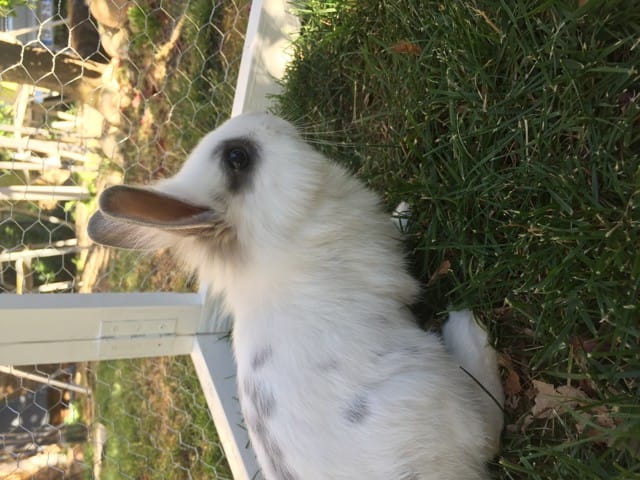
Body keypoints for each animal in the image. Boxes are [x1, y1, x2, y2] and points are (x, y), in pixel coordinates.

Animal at [88, 112, 504, 480]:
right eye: (236, 157)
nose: (270, 118)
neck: (274, 237)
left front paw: (404, 208)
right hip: (433, 383)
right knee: (491, 422)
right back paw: (468, 326)